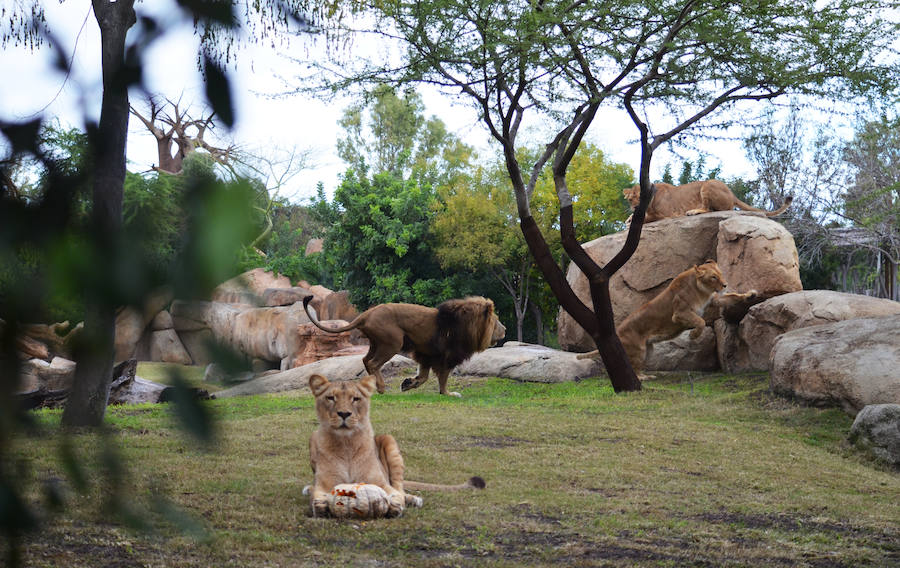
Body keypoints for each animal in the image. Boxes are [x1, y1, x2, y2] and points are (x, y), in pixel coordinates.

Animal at [624, 179, 792, 223]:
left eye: (639, 197)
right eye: (630, 199)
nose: (635, 207)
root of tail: (732, 193)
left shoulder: (666, 215)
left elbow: (647, 218)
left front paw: (631, 220)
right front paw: (630, 218)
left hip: (707, 184)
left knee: (709, 209)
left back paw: (692, 211)